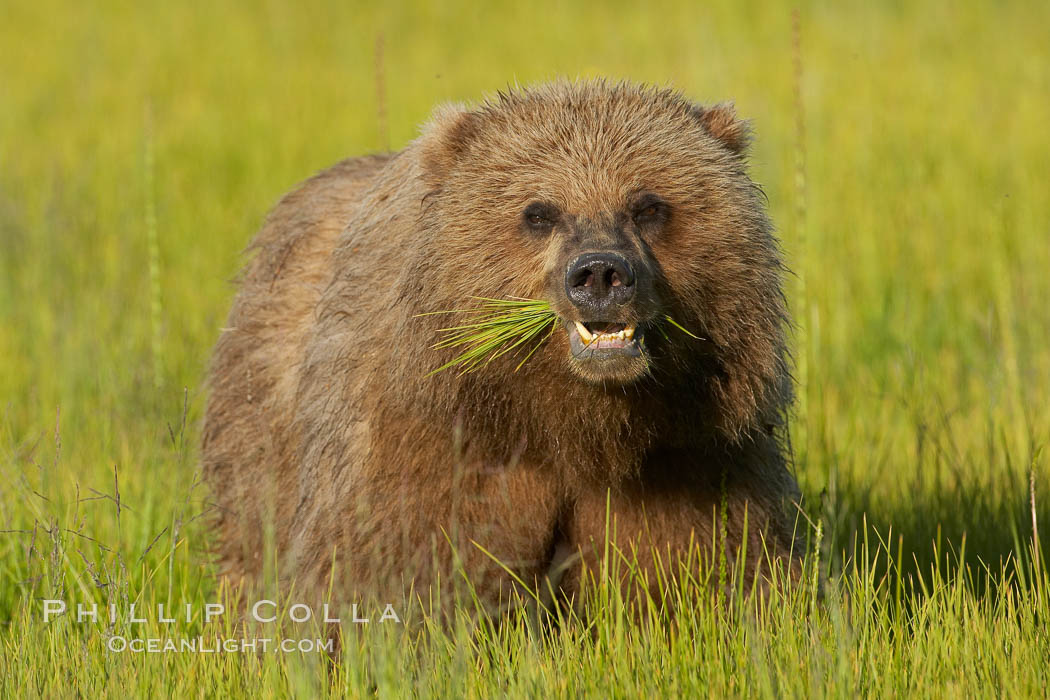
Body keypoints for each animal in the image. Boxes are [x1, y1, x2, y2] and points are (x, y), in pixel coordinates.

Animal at [200, 79, 797, 617]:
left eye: (648, 205)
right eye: (540, 212)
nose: (600, 273)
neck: (566, 423)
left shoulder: (690, 454)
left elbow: (700, 573)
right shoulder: (429, 445)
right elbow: (397, 571)